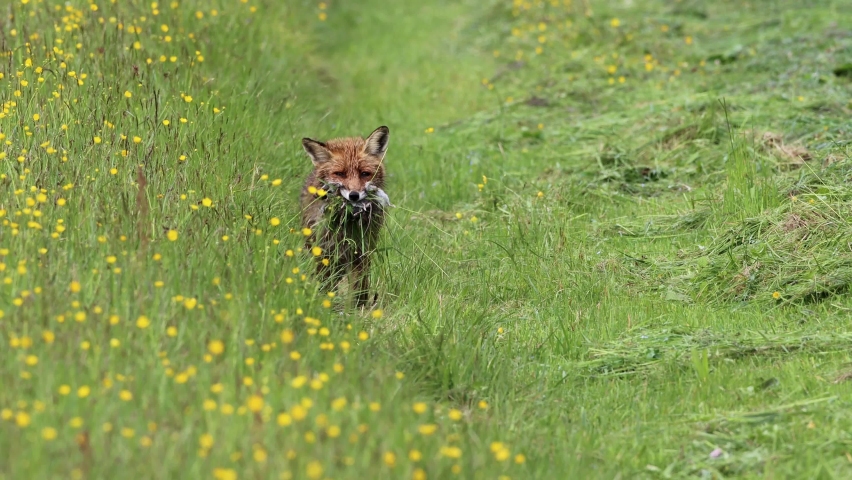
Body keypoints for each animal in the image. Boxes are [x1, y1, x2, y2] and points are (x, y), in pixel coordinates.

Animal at [300, 126, 391, 308]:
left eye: (365, 173)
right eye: (339, 174)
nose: (354, 196)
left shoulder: (361, 250)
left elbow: (359, 285)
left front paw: (358, 308)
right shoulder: (324, 250)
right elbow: (325, 282)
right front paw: (325, 302)